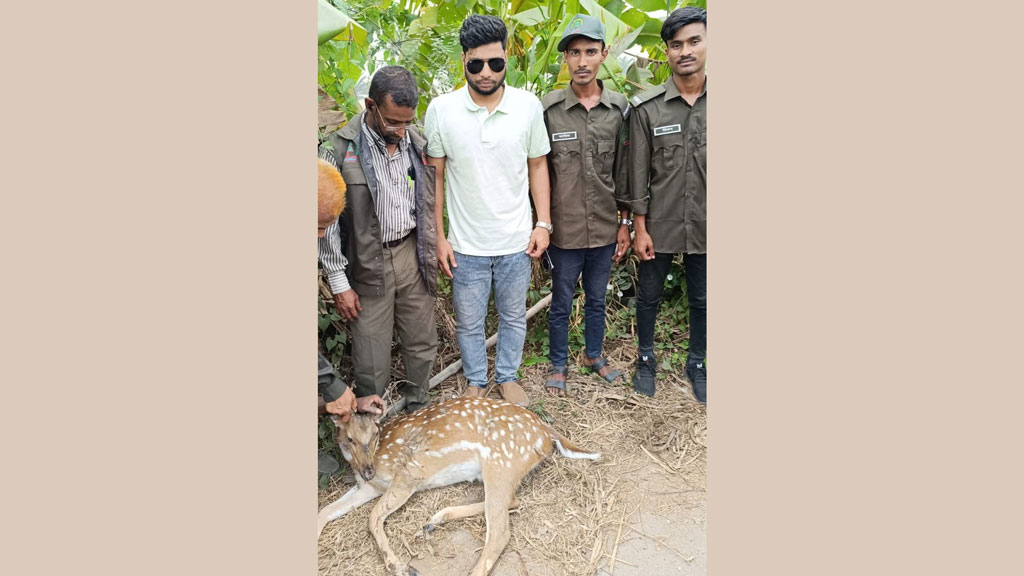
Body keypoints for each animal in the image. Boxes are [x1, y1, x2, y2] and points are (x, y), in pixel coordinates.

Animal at [317, 393, 598, 573]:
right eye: (349, 438)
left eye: (375, 433)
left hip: (501, 461)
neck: (378, 457)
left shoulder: (408, 474)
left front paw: (398, 566)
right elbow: (325, 511)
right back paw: (434, 521)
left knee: (501, 530)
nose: (367, 470)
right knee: (511, 502)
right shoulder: (368, 487)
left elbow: (373, 517)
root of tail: (546, 432)